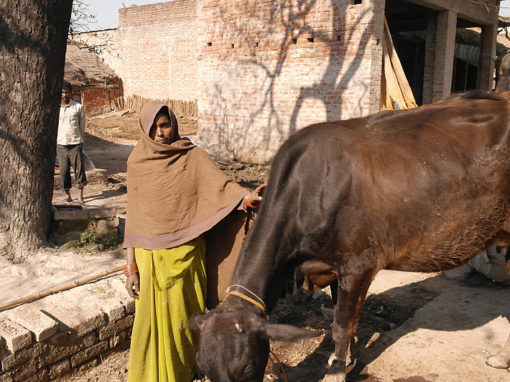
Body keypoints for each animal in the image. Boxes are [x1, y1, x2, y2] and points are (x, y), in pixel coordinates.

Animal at [189, 93, 510, 382]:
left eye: (244, 370)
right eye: (204, 370)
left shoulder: (358, 265)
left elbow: (342, 326)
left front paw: (336, 372)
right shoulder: (333, 266)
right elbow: (340, 317)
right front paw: (348, 357)